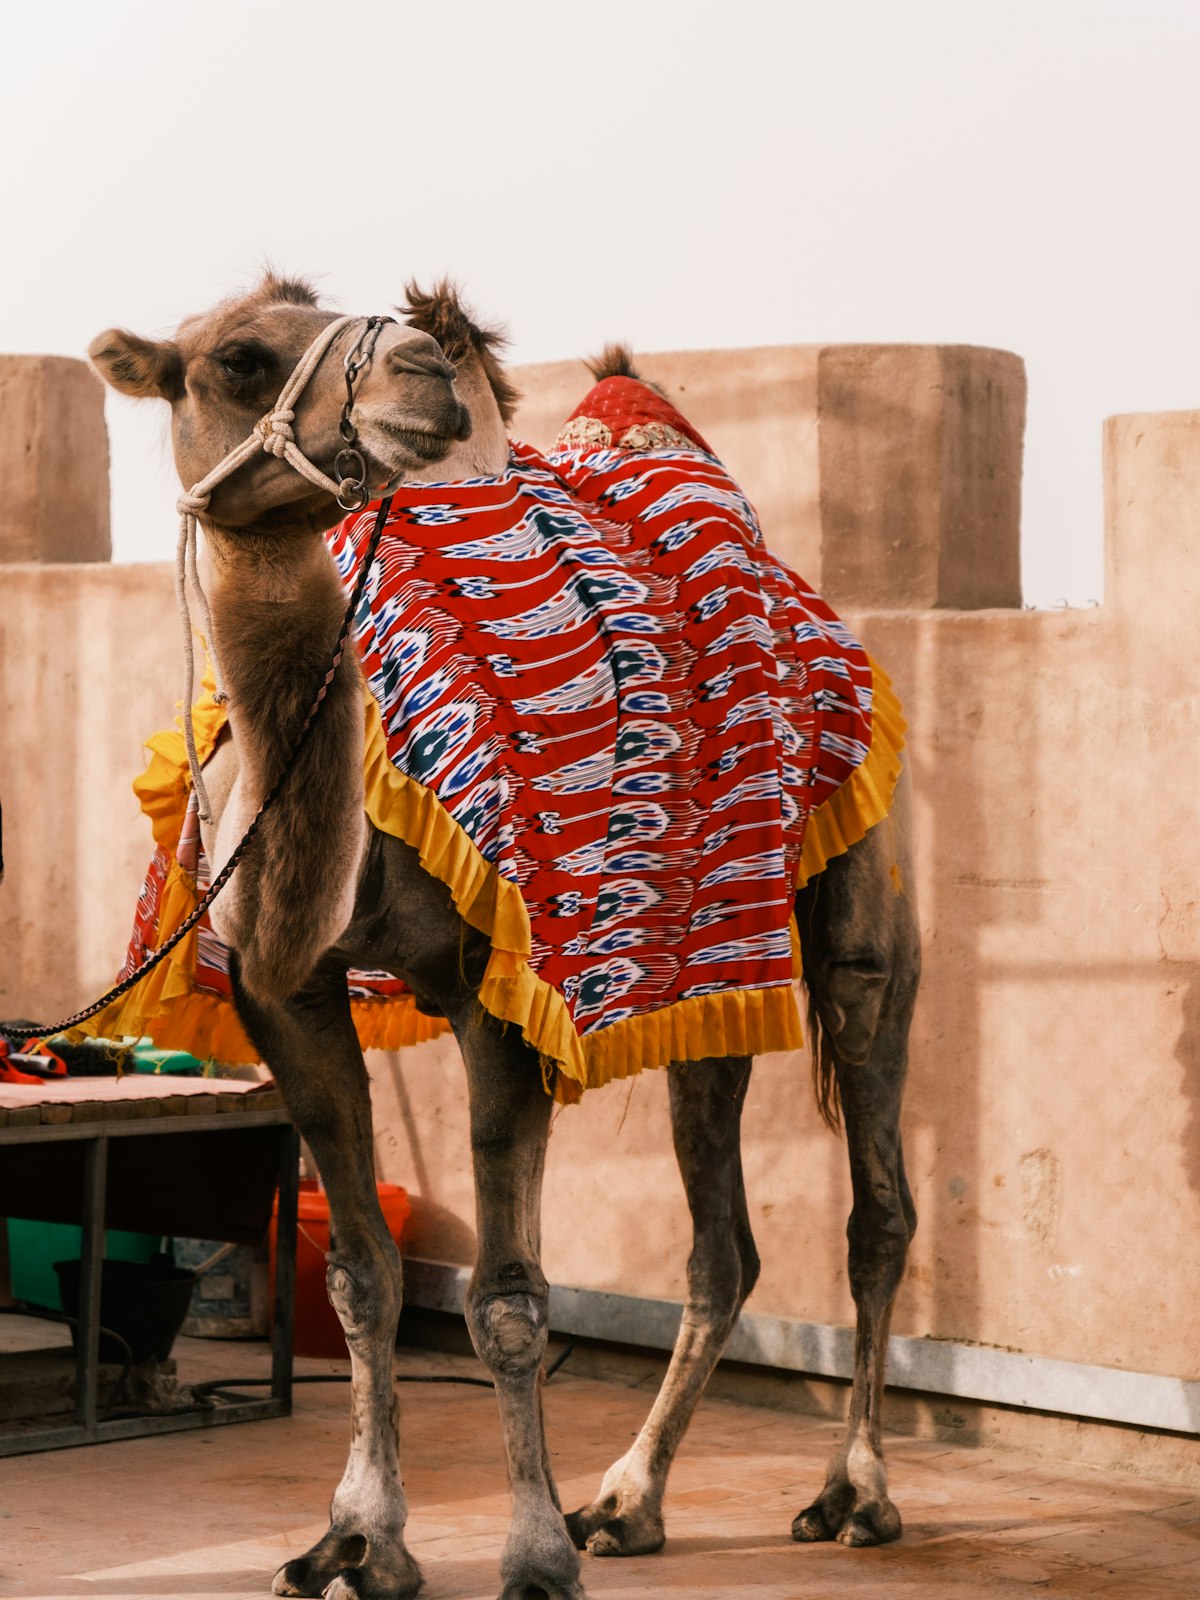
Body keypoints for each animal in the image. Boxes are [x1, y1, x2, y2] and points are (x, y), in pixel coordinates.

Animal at [88, 274, 920, 1600]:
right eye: (237, 357)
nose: (422, 372)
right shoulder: (288, 995)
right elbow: (362, 1275)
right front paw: (358, 1540)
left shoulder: (502, 992)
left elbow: (511, 1299)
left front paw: (531, 1556)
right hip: (714, 970)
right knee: (723, 1244)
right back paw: (628, 1503)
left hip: (864, 892)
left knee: (875, 1197)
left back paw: (856, 1493)